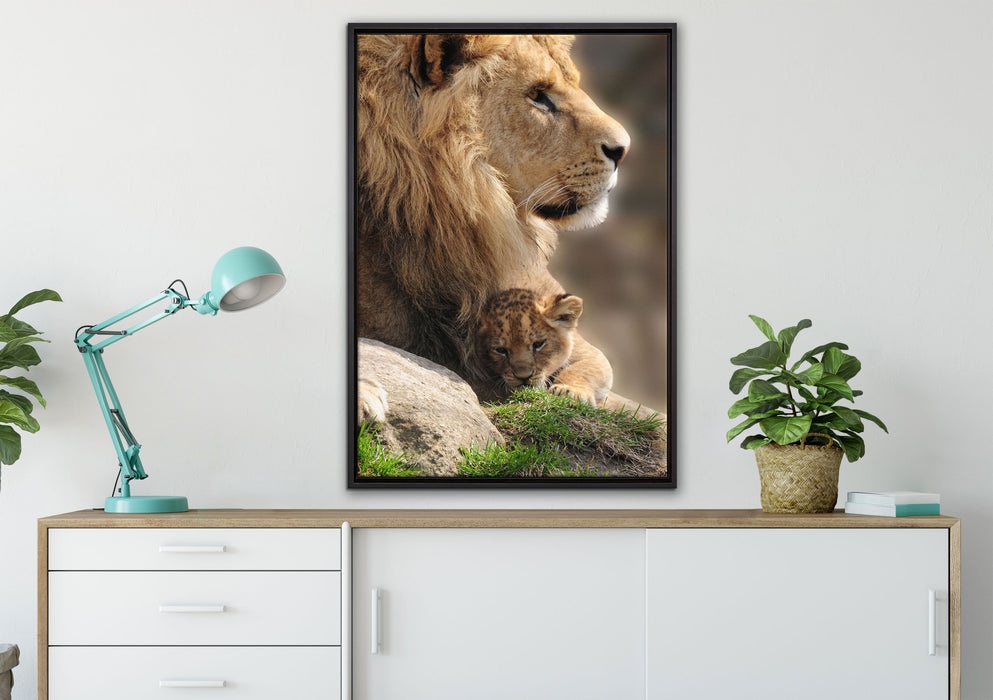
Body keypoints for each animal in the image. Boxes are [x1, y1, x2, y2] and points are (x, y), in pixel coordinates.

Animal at [471, 288, 612, 406]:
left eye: (538, 344)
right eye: (501, 350)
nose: (524, 377)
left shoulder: (591, 353)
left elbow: (581, 369)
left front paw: (569, 391)